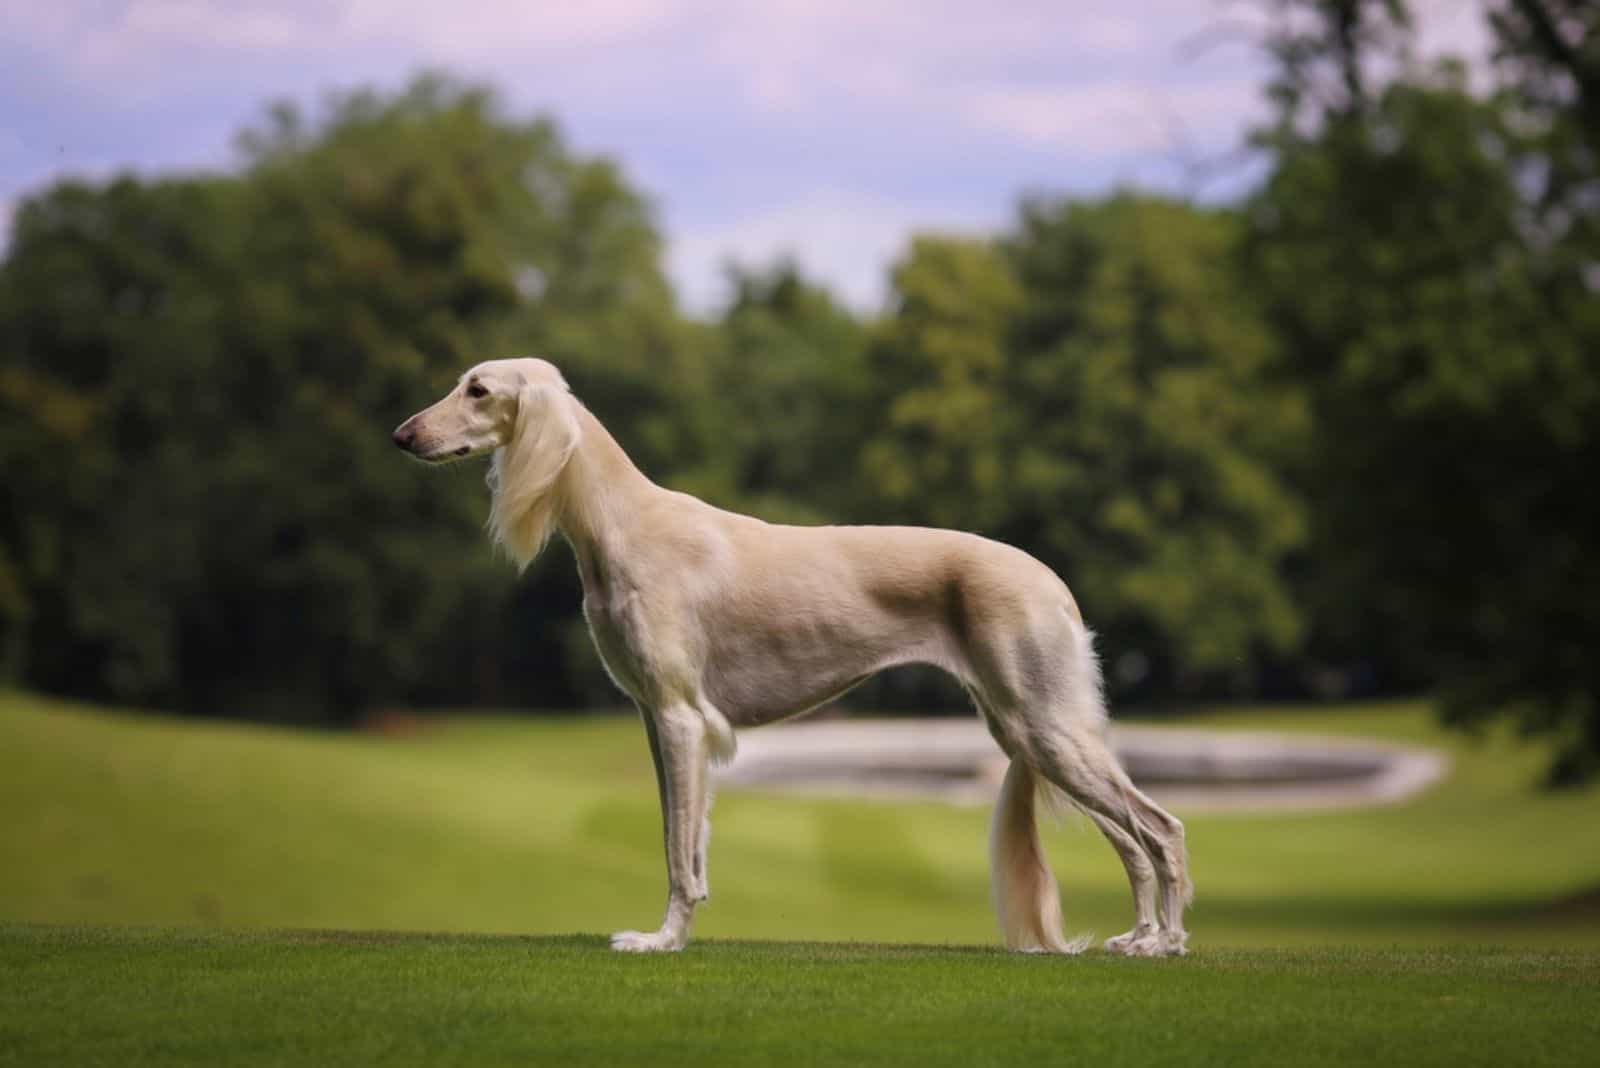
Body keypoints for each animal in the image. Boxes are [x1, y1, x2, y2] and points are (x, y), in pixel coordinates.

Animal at [395, 361, 1196, 959]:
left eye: (478, 389)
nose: (402, 434)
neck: (624, 523)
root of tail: (1053, 582)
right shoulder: (659, 720)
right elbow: (680, 840)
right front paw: (674, 931)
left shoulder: (681, 717)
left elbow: (678, 854)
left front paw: (662, 941)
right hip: (1030, 727)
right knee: (1131, 838)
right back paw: (1141, 937)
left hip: (1042, 725)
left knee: (1159, 828)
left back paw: (1166, 941)